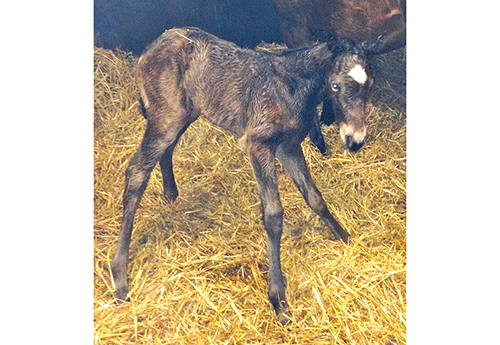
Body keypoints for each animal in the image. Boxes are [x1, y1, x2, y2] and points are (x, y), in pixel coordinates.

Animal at [111, 26, 380, 322]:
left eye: (369, 85)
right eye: (335, 86)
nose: (355, 140)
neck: (292, 88)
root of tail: (149, 50)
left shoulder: (288, 147)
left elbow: (314, 197)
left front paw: (344, 237)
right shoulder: (258, 145)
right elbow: (273, 215)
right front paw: (278, 300)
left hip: (184, 114)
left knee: (166, 150)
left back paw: (171, 193)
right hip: (166, 116)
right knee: (136, 172)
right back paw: (120, 277)